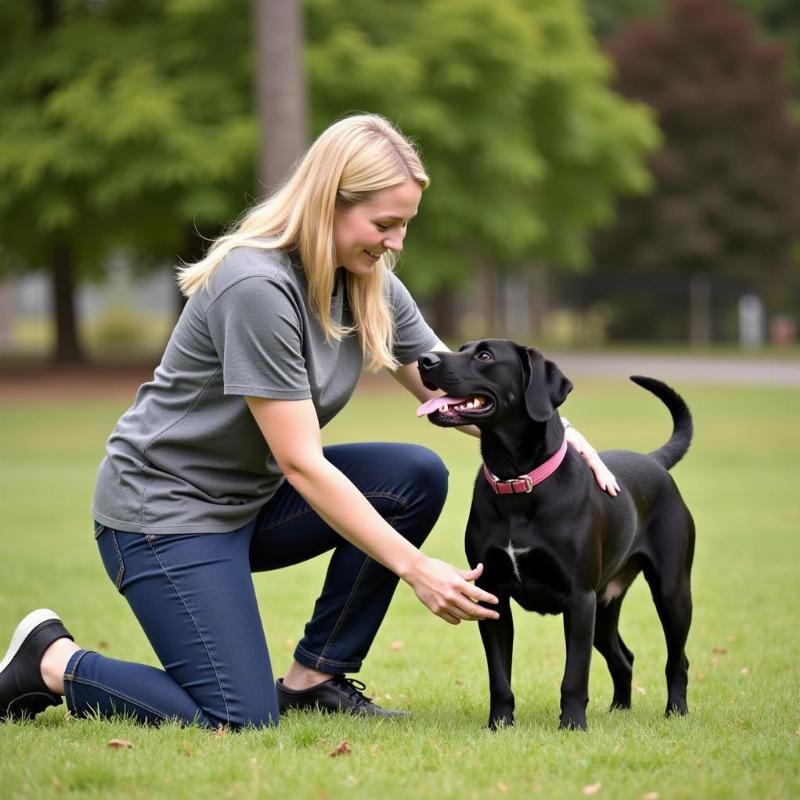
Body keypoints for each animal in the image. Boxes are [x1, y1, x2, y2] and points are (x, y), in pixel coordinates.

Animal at [418, 340, 692, 728]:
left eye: (485, 356)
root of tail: (655, 461)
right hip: (605, 606)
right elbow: (499, 676)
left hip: (670, 593)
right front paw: (499, 724)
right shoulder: (492, 595)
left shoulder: (579, 599)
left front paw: (573, 724)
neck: (517, 484)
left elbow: (574, 674)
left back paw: (676, 711)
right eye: (461, 348)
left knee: (677, 659)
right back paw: (619, 709)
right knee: (624, 658)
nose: (424, 360)